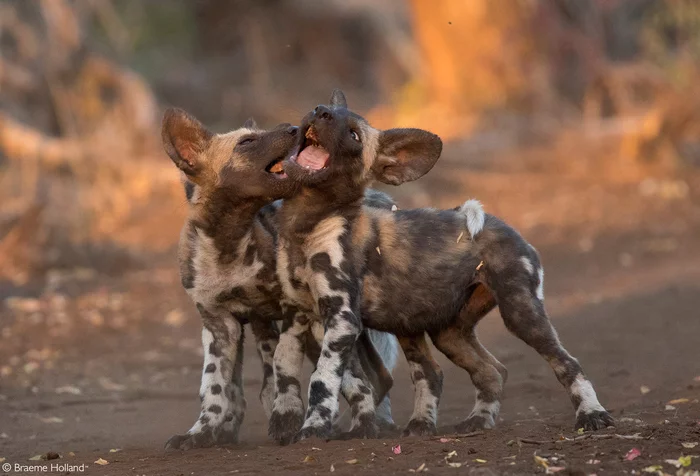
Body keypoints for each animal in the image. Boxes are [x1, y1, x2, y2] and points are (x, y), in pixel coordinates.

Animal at [274, 90, 612, 442]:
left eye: (353, 135)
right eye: (324, 109)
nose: (321, 111)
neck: (305, 223)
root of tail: (507, 226)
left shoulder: (341, 319)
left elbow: (322, 379)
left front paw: (314, 429)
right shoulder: (304, 315)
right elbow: (300, 370)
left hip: (521, 313)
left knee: (566, 362)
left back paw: (592, 415)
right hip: (443, 331)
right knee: (480, 371)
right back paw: (462, 421)